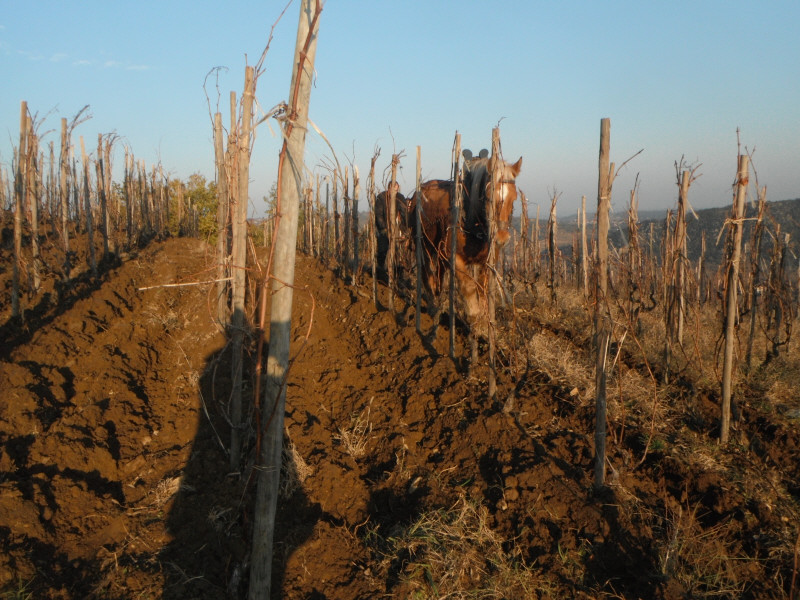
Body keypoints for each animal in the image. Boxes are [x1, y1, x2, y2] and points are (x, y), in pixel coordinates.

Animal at [410, 150, 520, 330]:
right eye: (489, 197)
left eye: (514, 197)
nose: (501, 238)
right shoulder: (454, 257)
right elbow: (468, 286)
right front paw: (474, 317)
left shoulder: (487, 260)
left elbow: (482, 287)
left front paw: (484, 323)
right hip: (424, 245)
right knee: (428, 272)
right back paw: (433, 304)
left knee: (439, 273)